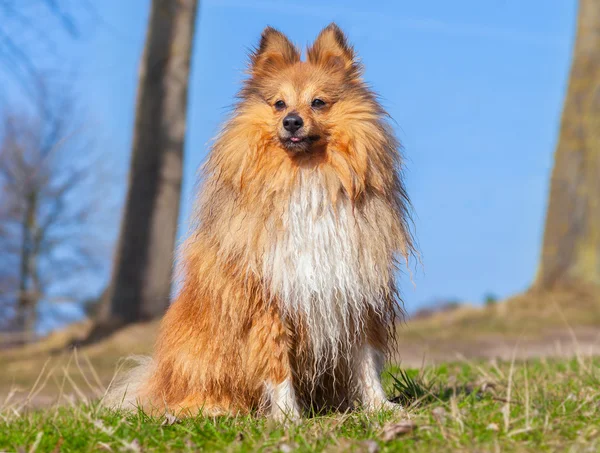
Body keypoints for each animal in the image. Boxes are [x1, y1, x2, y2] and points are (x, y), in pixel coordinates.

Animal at [105, 23, 414, 420]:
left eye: (318, 102)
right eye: (278, 104)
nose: (291, 121)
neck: (305, 174)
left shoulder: (352, 290)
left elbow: (365, 359)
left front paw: (381, 407)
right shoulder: (267, 299)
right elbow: (276, 363)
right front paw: (288, 418)